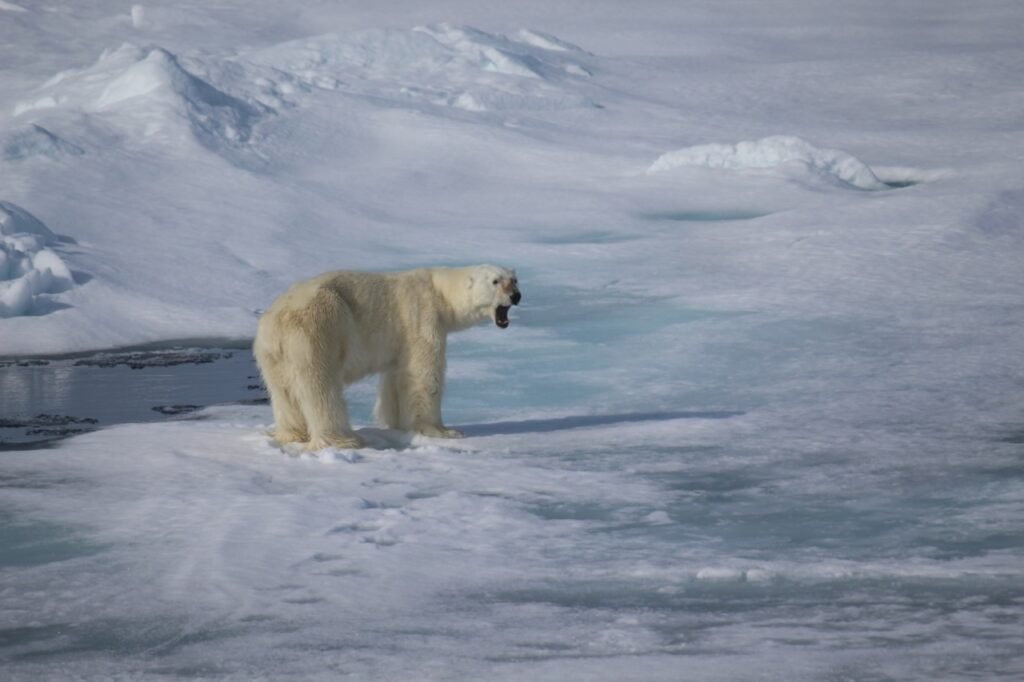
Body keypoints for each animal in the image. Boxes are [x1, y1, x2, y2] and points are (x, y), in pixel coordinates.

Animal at [253, 264, 521, 450]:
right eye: (496, 281)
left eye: (514, 279)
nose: (516, 296)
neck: (439, 290)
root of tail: (276, 321)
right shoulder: (421, 317)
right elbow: (424, 376)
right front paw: (442, 431)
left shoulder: (400, 343)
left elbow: (398, 377)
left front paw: (398, 424)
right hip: (320, 327)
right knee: (320, 387)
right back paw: (345, 439)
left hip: (271, 354)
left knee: (284, 392)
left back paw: (292, 434)